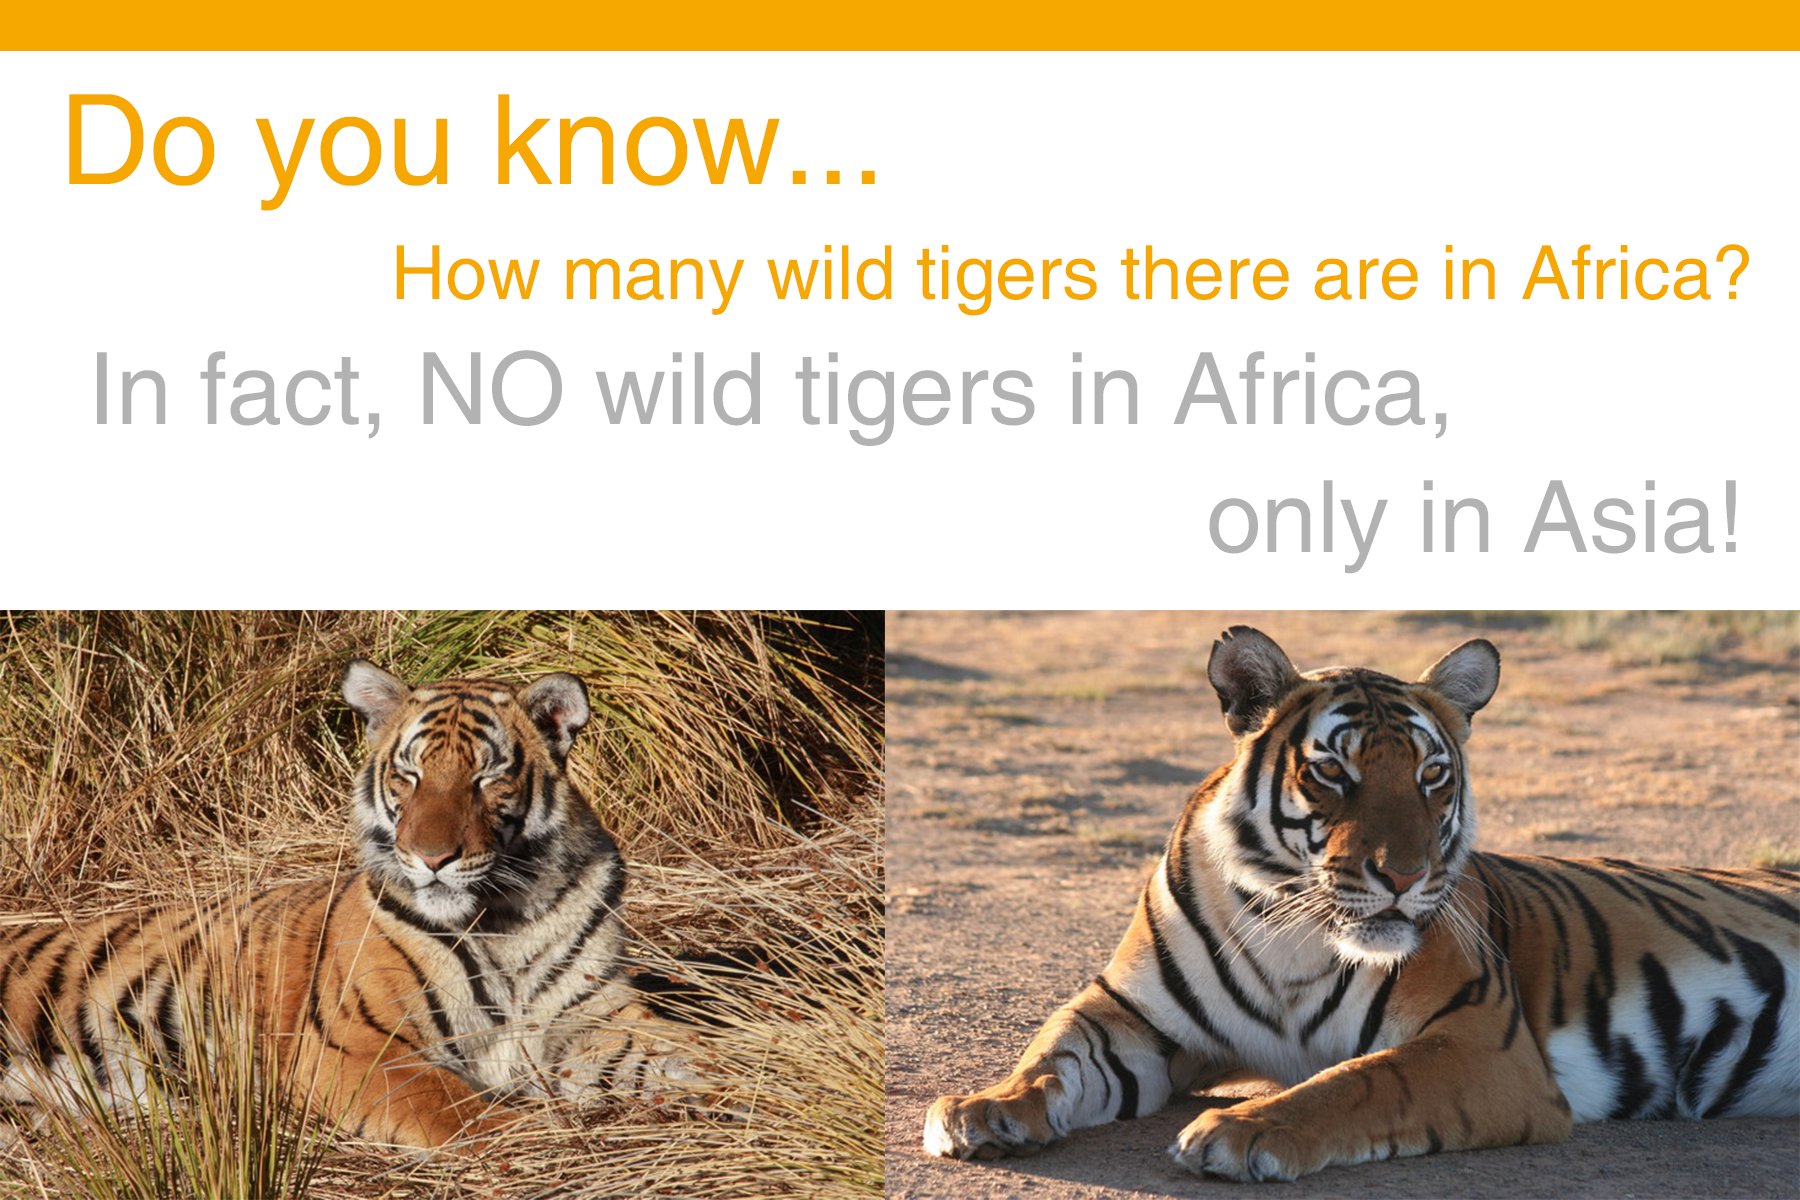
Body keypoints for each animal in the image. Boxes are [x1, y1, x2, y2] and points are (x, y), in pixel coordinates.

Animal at [0, 660, 696, 1148]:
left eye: (486, 777)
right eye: (410, 775)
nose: (432, 857)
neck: (507, 915)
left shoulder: (597, 1017)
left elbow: (683, 1046)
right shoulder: (354, 1046)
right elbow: (460, 1110)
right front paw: (537, 1136)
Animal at [923, 626, 1799, 1181]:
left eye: (1431, 776)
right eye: (1332, 773)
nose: (1404, 877)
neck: (1288, 925)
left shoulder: (1481, 1042)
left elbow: (1361, 1081)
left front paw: (1243, 1130)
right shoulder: (1131, 1016)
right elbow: (1053, 1055)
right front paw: (983, 1109)